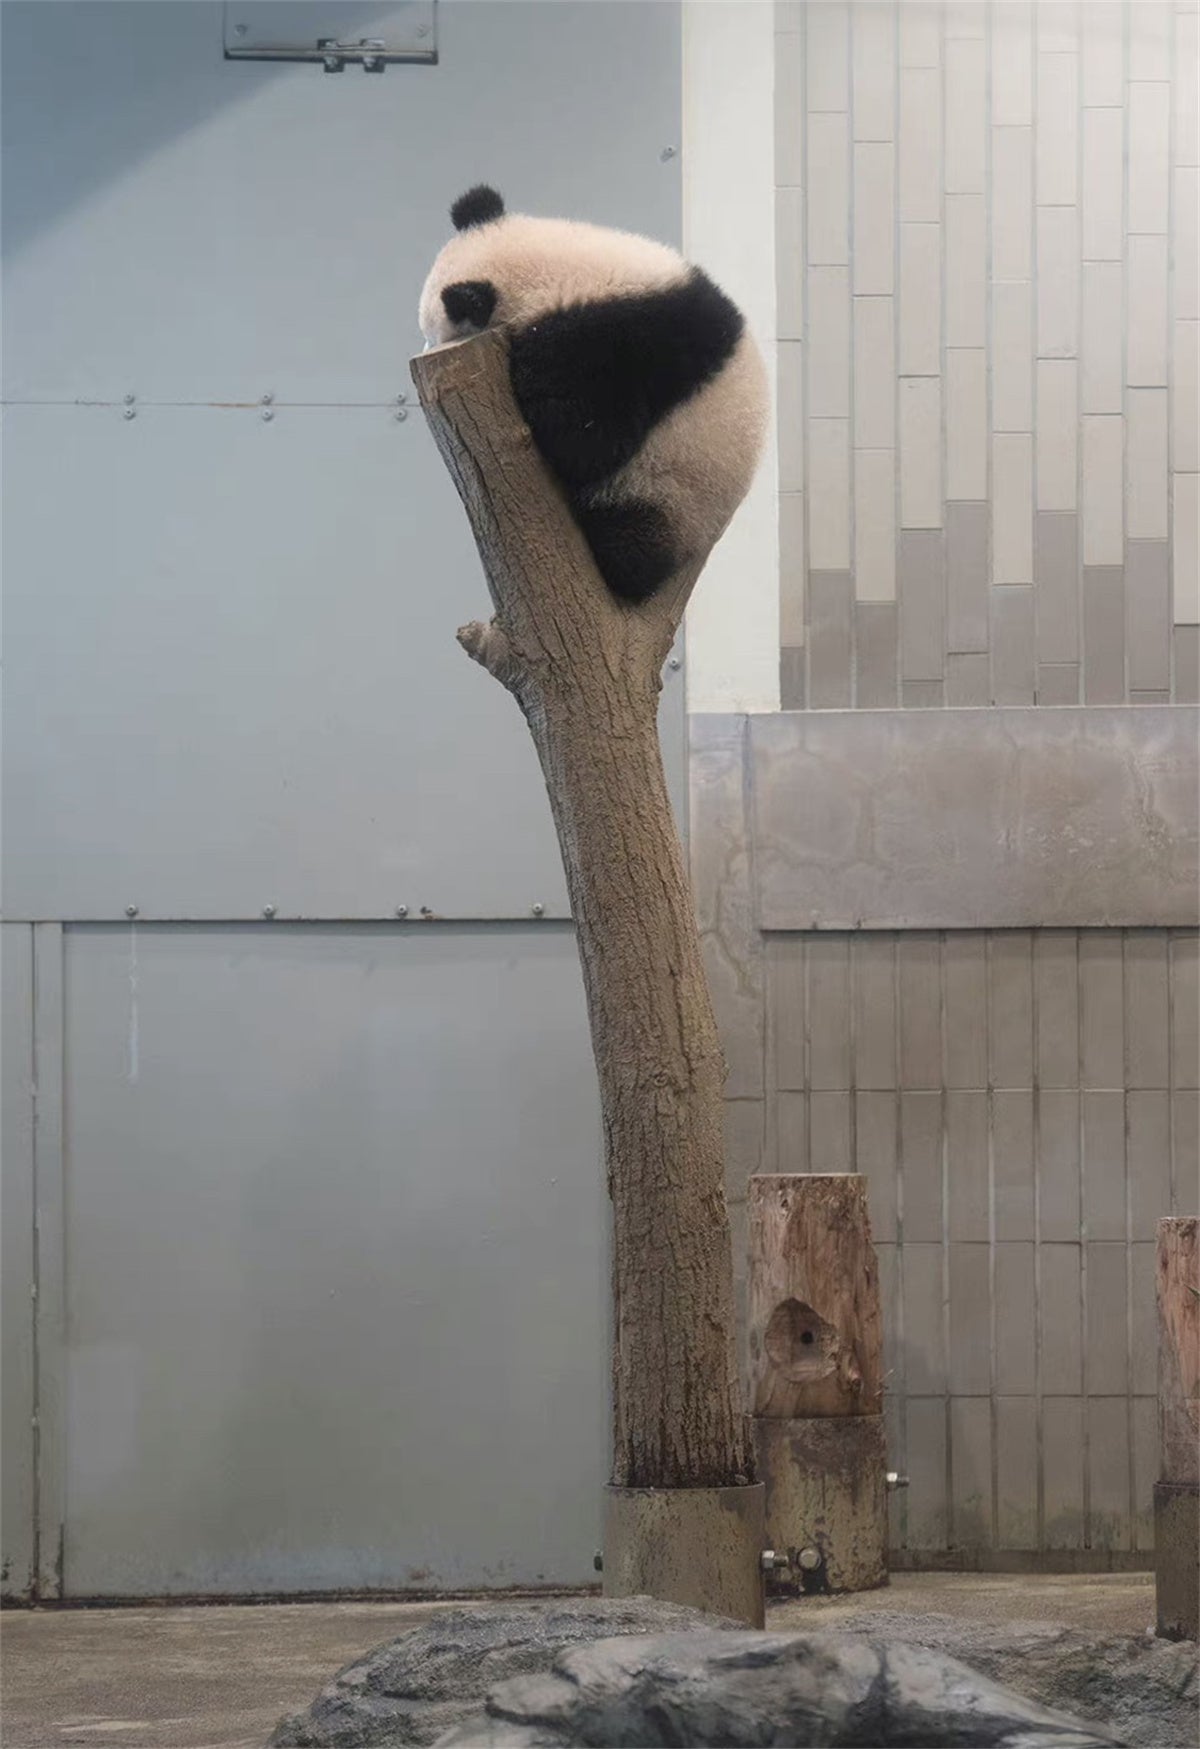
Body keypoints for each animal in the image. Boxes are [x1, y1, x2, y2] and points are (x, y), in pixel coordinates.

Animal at [418, 186, 768, 606]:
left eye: (434, 333)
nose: (423, 351)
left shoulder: (618, 345)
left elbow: (586, 445)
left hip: (669, 489)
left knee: (629, 546)